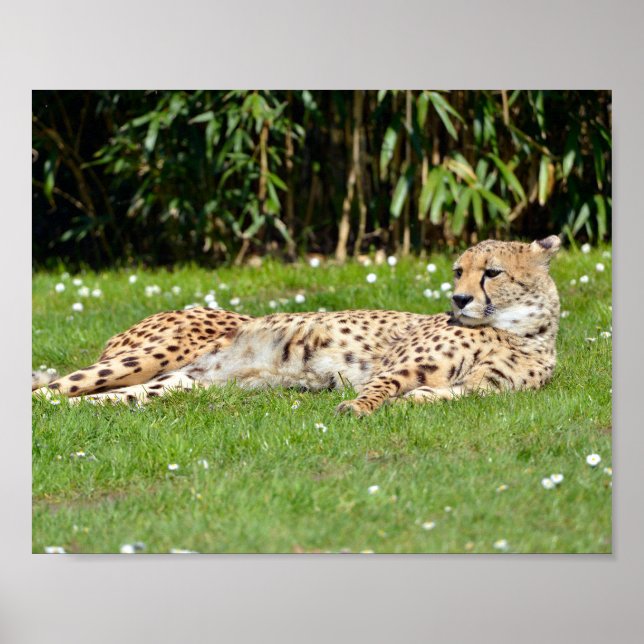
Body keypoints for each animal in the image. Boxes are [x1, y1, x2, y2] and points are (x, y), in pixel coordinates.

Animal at [32, 235, 561, 416]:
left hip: (174, 384)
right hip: (151, 355)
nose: (458, 298)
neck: (517, 330)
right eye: (458, 271)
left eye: (491, 272)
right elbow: (378, 388)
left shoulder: (478, 390)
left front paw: (412, 401)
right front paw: (355, 408)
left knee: (86, 399)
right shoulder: (392, 368)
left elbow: (448, 394)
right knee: (50, 389)